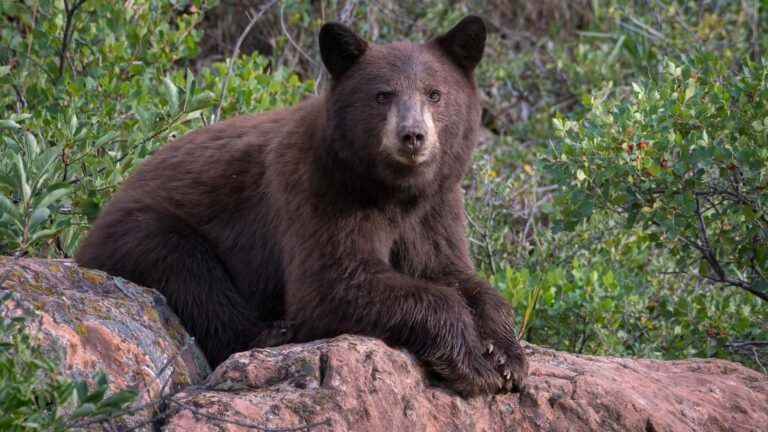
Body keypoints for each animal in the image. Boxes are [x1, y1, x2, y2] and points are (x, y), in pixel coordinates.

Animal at [76, 15, 528, 396]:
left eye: (435, 94)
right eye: (382, 95)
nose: (413, 136)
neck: (393, 190)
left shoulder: (436, 207)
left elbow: (454, 272)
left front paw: (506, 354)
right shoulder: (320, 190)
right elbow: (330, 283)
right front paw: (474, 362)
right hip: (141, 232)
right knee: (190, 273)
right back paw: (274, 334)